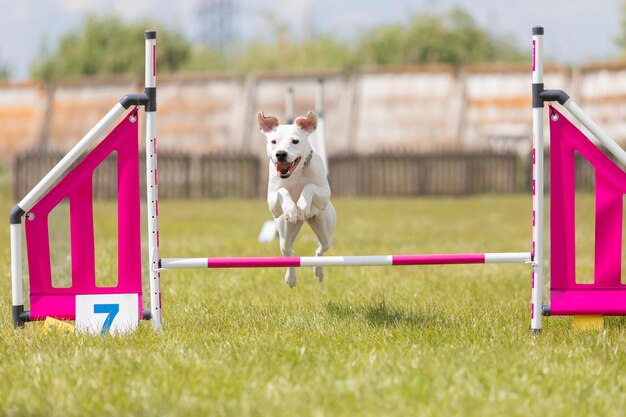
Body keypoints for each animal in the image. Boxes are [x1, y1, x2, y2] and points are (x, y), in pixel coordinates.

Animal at [256, 109, 334, 288]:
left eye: (295, 141)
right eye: (274, 141)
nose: (280, 154)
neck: (296, 173)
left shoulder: (324, 194)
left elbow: (310, 186)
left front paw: (302, 205)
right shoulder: (272, 203)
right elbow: (282, 190)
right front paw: (292, 209)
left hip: (324, 227)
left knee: (321, 247)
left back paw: (318, 270)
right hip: (284, 232)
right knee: (289, 252)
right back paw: (291, 278)